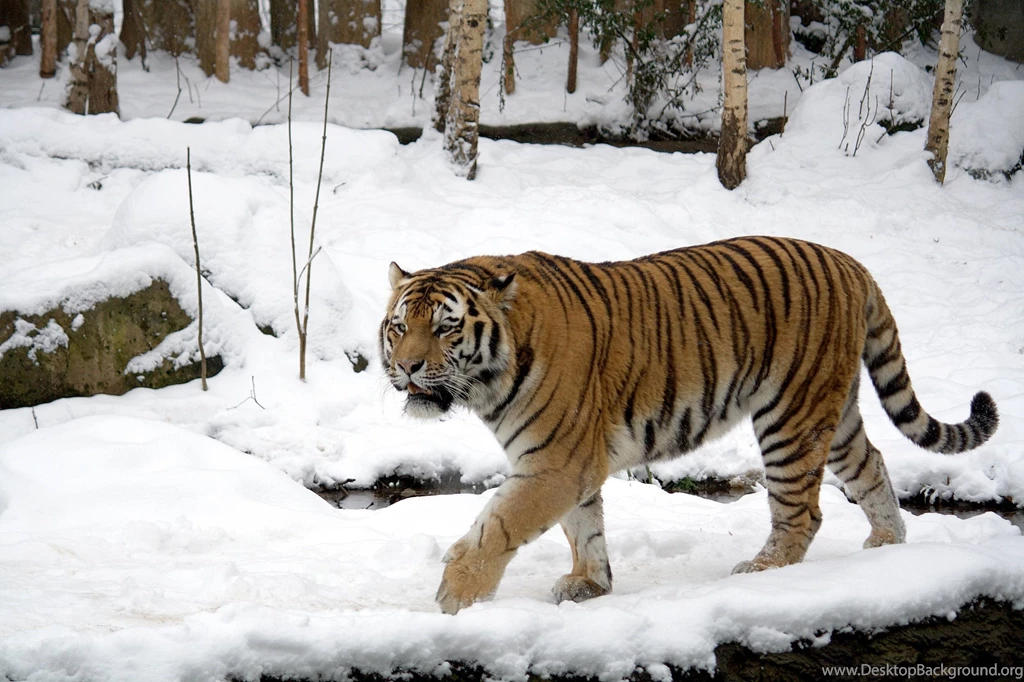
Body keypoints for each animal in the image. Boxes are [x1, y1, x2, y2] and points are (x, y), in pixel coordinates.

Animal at [378, 236, 999, 615]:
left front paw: (454, 599)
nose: (406, 366)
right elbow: (584, 527)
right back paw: (886, 547)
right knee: (870, 464)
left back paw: (762, 571)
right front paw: (590, 584)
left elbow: (497, 527)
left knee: (803, 510)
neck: (490, 379)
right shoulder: (568, 463)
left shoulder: (555, 462)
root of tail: (852, 263)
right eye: (399, 326)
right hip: (833, 410)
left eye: (445, 328)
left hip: (790, 416)